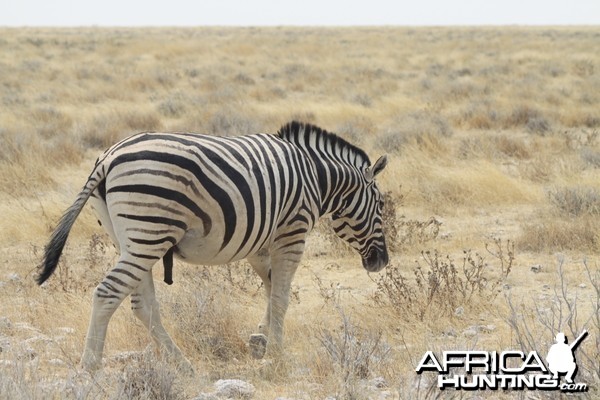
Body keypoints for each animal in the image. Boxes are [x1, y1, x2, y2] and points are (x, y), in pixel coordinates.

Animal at [36, 121, 390, 372]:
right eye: (382, 206)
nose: (382, 262)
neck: (316, 176)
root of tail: (107, 158)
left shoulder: (261, 242)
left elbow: (270, 287)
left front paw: (259, 340)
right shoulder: (292, 232)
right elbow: (281, 296)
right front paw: (277, 354)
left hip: (133, 240)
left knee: (142, 305)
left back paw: (182, 364)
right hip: (149, 233)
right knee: (108, 293)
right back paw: (90, 368)